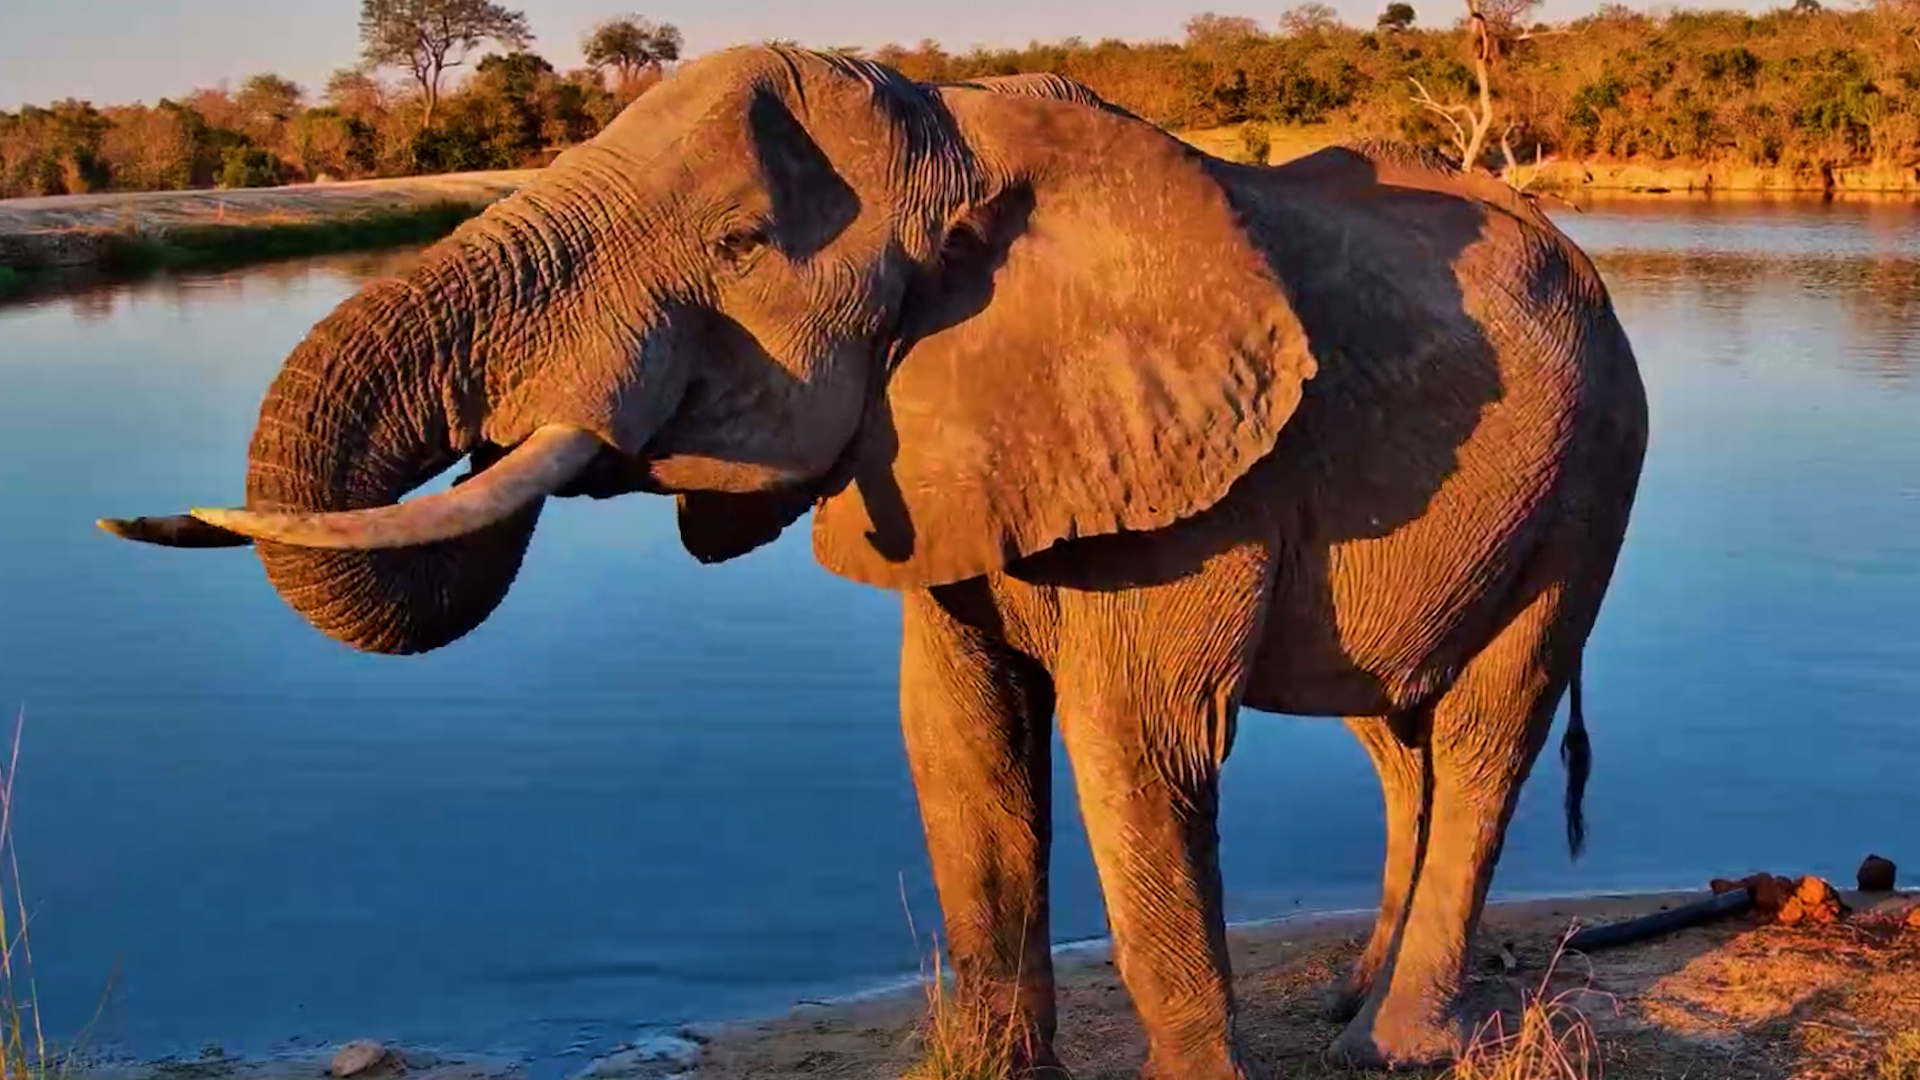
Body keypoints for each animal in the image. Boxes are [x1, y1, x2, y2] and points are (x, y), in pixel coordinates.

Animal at [98, 48, 1650, 1078]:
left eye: (738, 246)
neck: (964, 121)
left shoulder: (1201, 482)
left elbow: (1135, 749)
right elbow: (957, 740)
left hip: (1594, 475)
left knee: (1489, 724)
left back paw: (1404, 1043)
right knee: (1400, 739)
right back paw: (1346, 998)